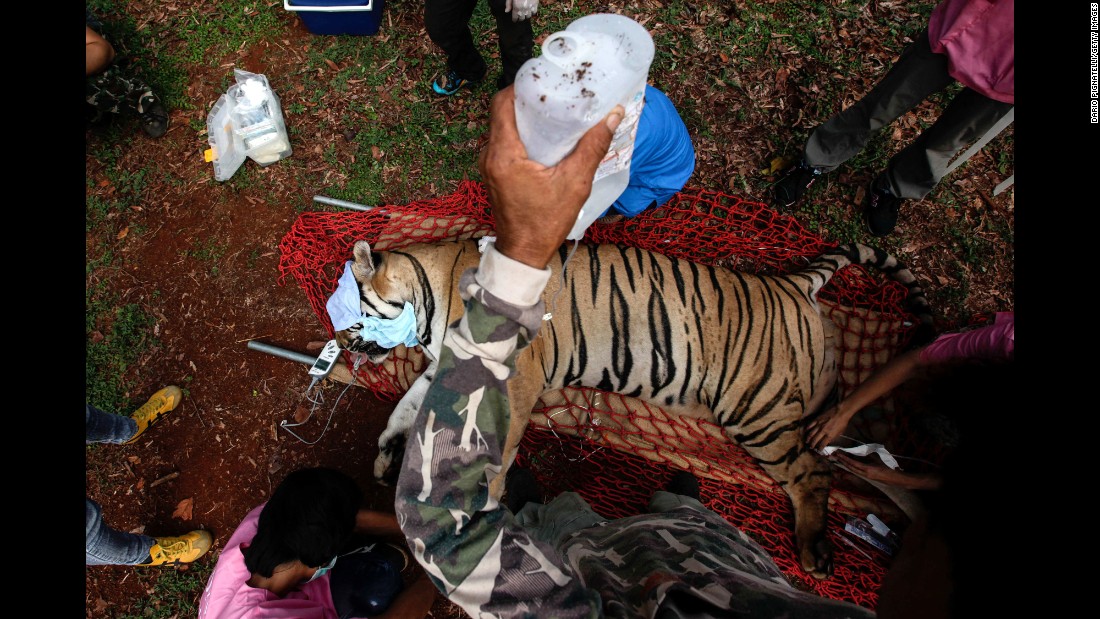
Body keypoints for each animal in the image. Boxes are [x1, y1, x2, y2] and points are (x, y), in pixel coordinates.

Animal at [335, 238, 933, 580]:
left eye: (350, 315)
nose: (346, 346)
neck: (429, 296)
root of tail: (792, 282)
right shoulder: (441, 367)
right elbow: (406, 411)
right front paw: (388, 455)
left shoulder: (516, 376)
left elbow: (496, 448)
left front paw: (486, 502)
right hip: (814, 398)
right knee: (833, 451)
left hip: (754, 409)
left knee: (811, 473)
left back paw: (813, 552)